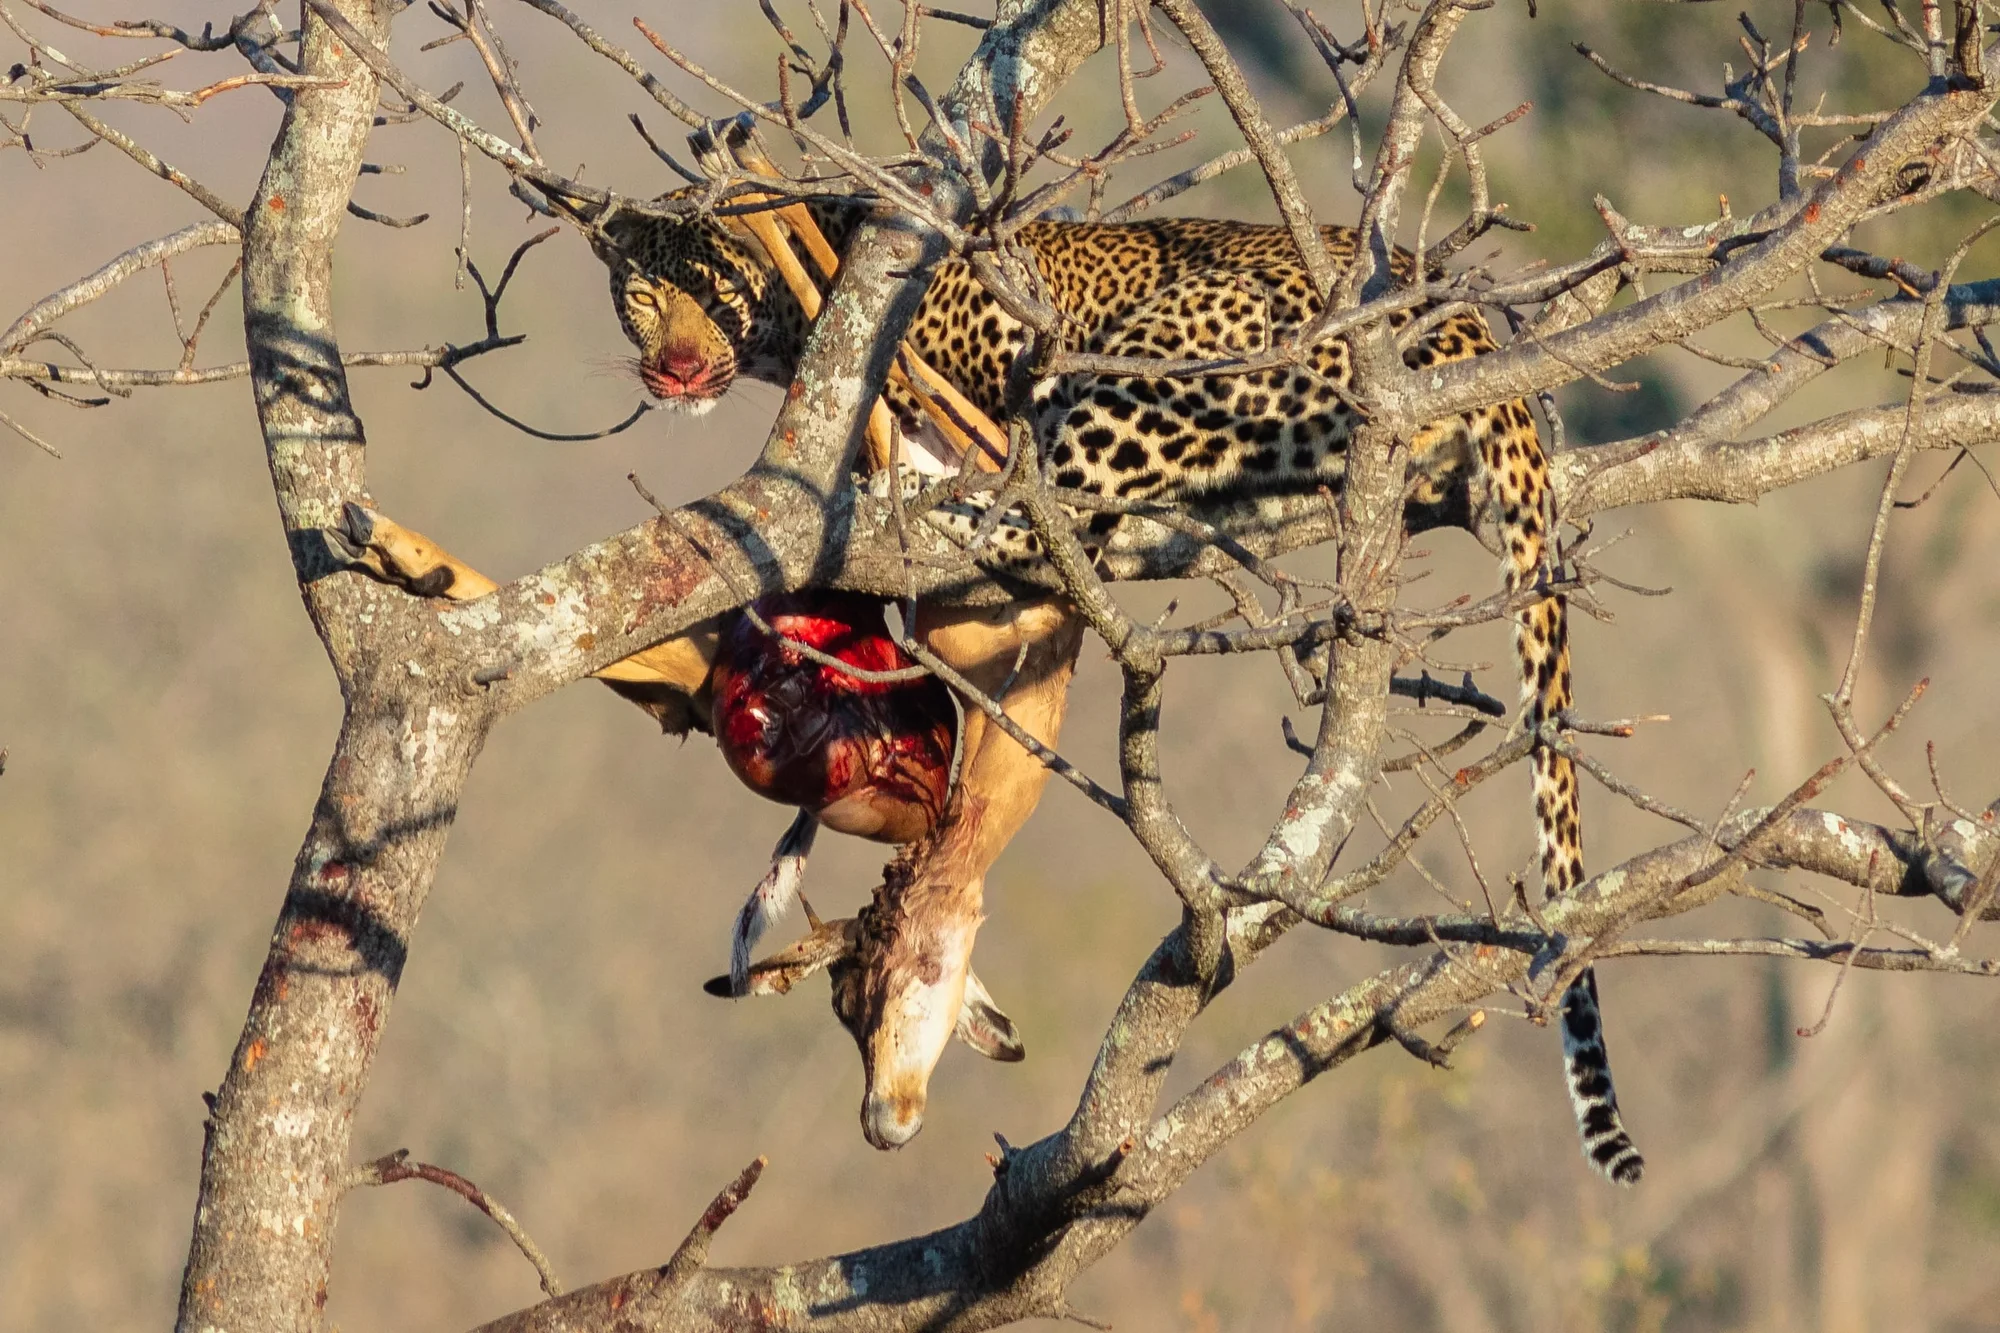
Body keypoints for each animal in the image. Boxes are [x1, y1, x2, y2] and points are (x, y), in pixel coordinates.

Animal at [586, 192, 1645, 1185]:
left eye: (710, 288)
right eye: (640, 297)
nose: (671, 370)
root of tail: (1472, 334)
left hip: (1148, 372)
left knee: (1046, 507)